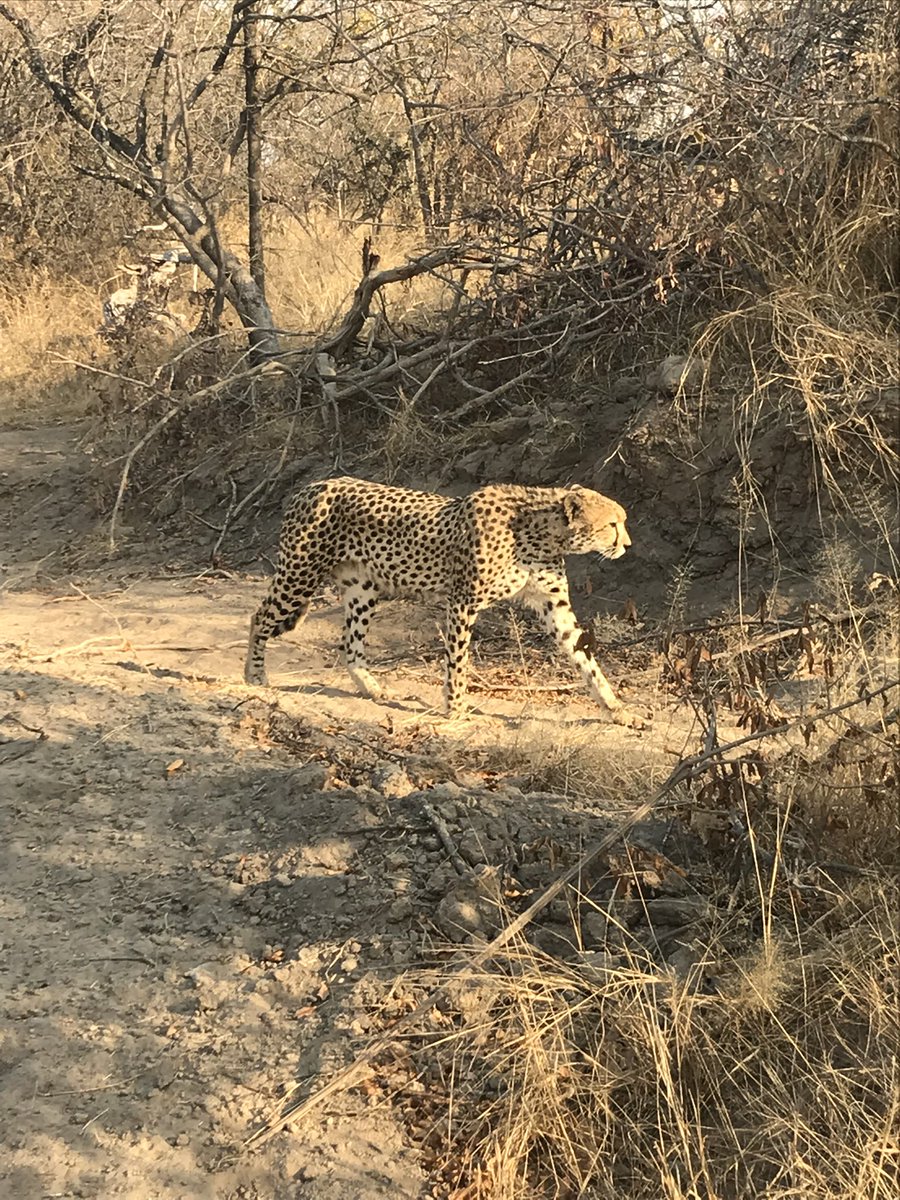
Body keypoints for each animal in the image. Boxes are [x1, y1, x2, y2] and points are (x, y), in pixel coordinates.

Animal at [244, 476, 638, 724]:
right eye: (612, 524)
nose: (627, 545)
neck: (541, 533)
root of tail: (312, 486)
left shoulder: (553, 607)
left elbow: (585, 658)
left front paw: (617, 709)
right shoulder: (462, 602)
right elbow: (457, 661)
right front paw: (457, 707)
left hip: (363, 590)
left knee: (349, 643)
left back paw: (371, 688)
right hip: (301, 574)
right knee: (259, 618)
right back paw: (255, 675)